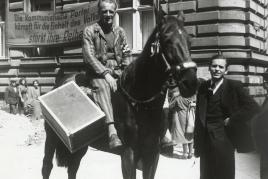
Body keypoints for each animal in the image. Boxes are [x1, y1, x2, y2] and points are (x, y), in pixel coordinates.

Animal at [41, 10, 197, 179]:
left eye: (189, 41)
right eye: (167, 40)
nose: (190, 82)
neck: (140, 104)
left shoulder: (152, 154)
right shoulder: (128, 154)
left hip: (80, 147)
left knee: (73, 168)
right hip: (51, 138)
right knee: (47, 166)